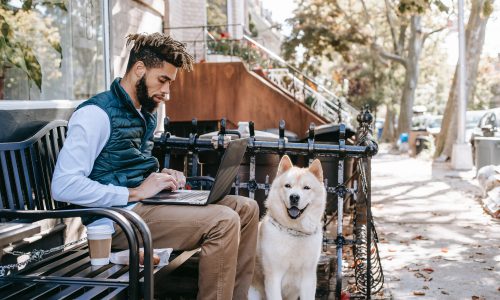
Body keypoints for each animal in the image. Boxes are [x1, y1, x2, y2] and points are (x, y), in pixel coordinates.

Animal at [250, 156, 328, 298]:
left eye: (306, 188)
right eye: (288, 186)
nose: (294, 197)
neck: (295, 231)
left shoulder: (308, 278)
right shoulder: (273, 277)